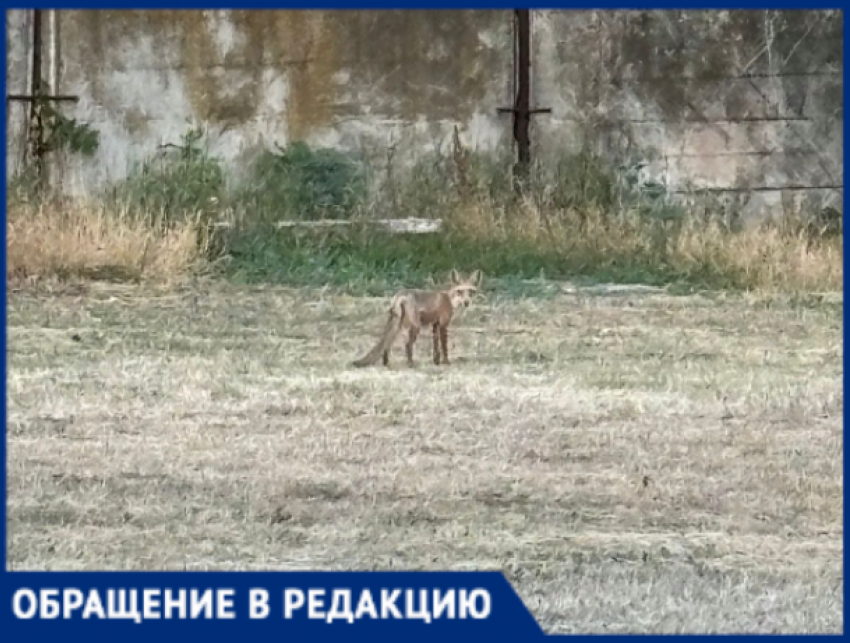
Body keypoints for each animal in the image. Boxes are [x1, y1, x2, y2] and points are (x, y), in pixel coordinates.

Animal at [352, 270, 480, 370]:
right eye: (460, 291)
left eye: (471, 292)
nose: (466, 302)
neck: (449, 300)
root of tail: (400, 294)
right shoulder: (443, 325)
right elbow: (444, 347)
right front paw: (446, 362)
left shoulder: (435, 325)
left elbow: (436, 347)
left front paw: (436, 362)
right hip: (415, 326)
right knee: (407, 345)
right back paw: (410, 364)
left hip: (397, 324)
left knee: (387, 344)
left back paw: (386, 364)